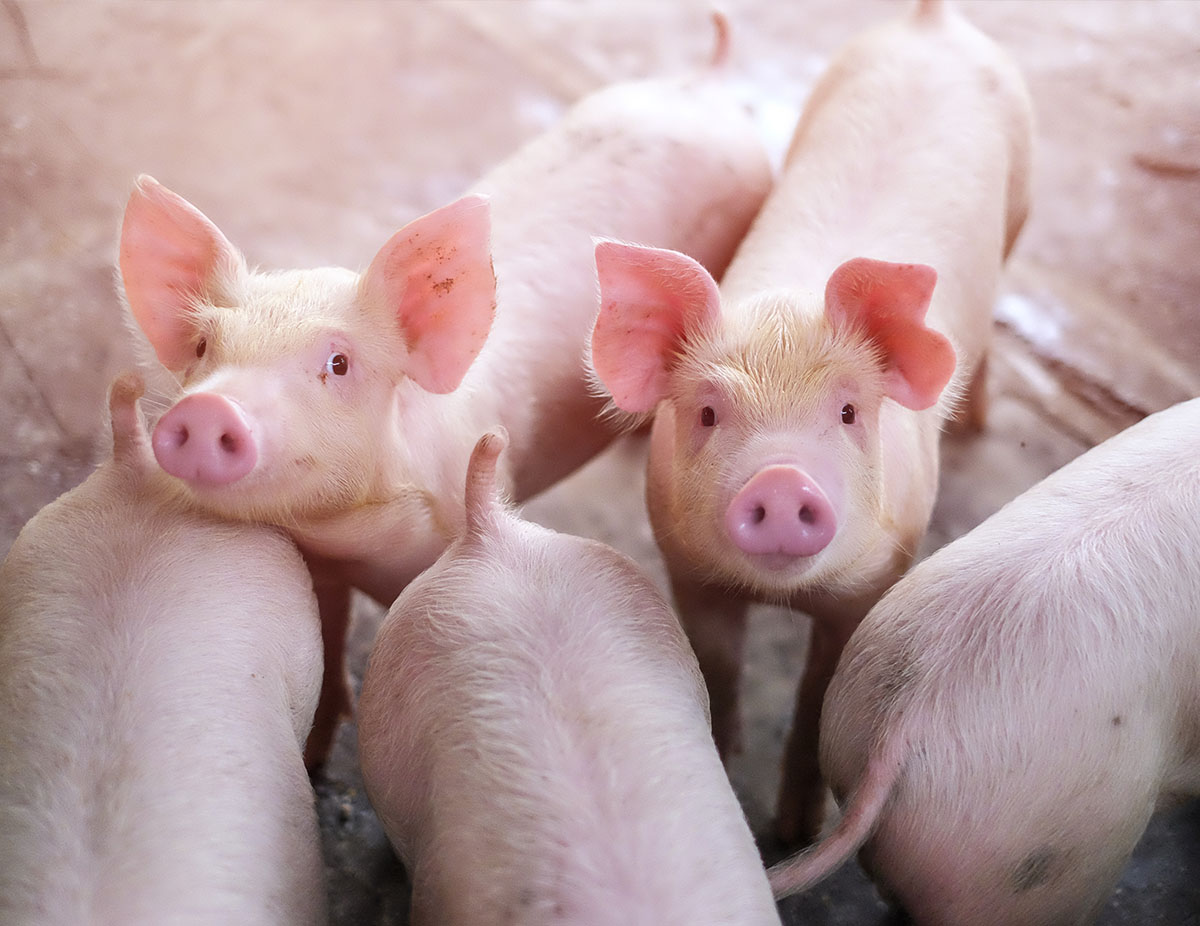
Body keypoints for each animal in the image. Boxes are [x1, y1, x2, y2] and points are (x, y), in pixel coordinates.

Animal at [116, 12, 773, 766]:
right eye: (203, 348)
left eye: (338, 363)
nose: (206, 408)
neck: (360, 539)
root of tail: (707, 80)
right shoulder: (324, 562)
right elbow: (329, 637)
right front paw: (315, 757)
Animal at [587, 0, 1033, 844]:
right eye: (707, 411)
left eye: (850, 410)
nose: (782, 480)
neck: (782, 596)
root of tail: (930, 21)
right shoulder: (689, 569)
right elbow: (720, 672)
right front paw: (728, 767)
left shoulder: (876, 575)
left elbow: (815, 695)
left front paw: (792, 832)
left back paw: (979, 425)